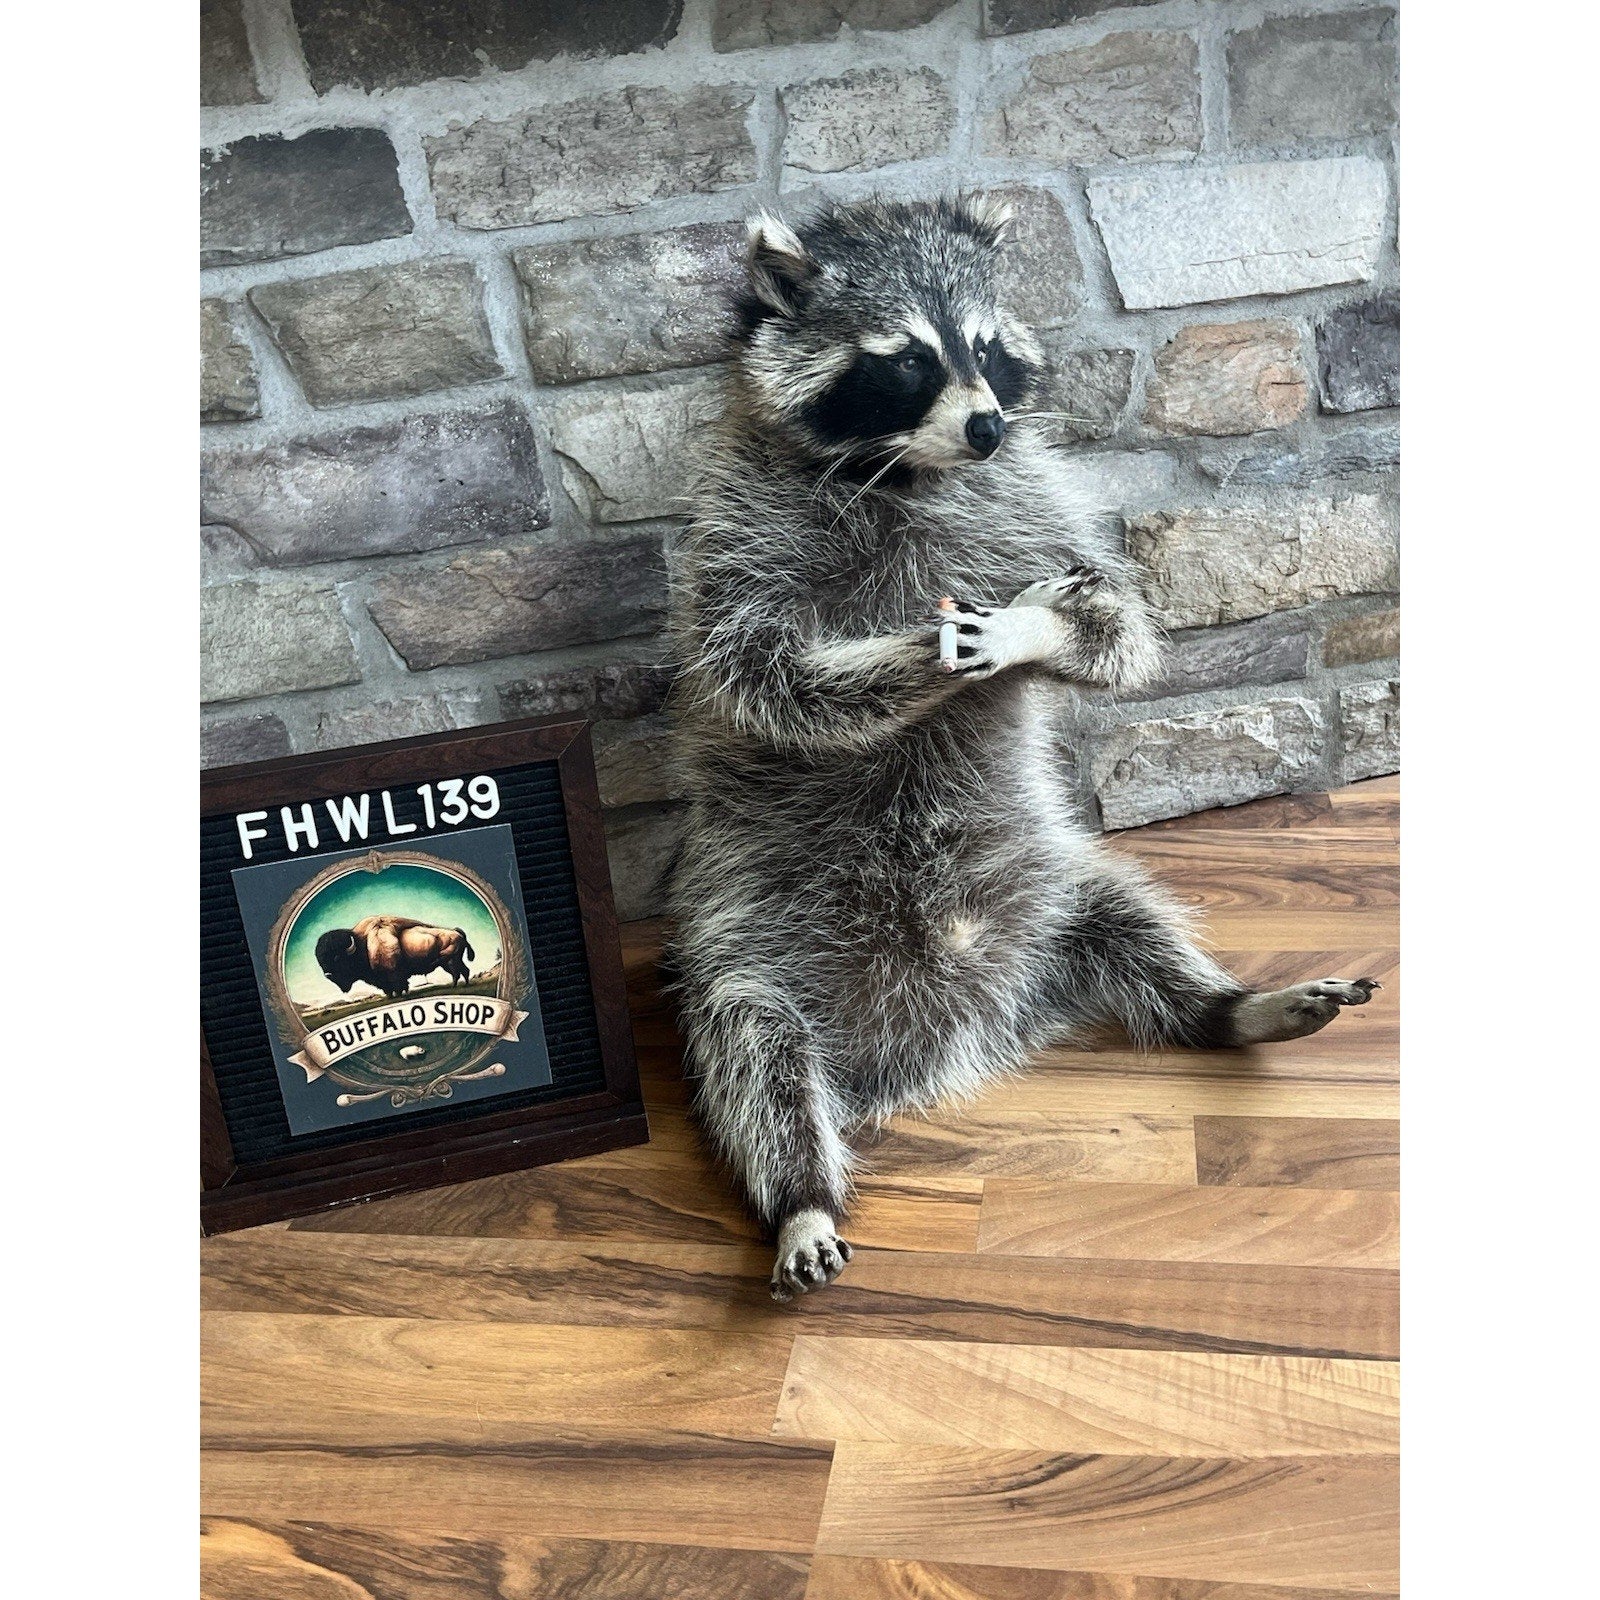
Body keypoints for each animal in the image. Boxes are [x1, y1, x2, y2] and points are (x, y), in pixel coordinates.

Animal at [665, 196, 1377, 1302]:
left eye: (988, 348)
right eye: (907, 360)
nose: (988, 425)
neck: (908, 469)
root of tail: (945, 1038)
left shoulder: (1034, 500)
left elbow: (1118, 623)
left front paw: (1032, 630)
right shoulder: (735, 531)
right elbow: (768, 676)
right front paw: (905, 656)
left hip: (1055, 890)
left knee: (1132, 919)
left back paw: (1225, 1006)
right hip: (751, 953)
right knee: (755, 1056)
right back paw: (800, 1194)